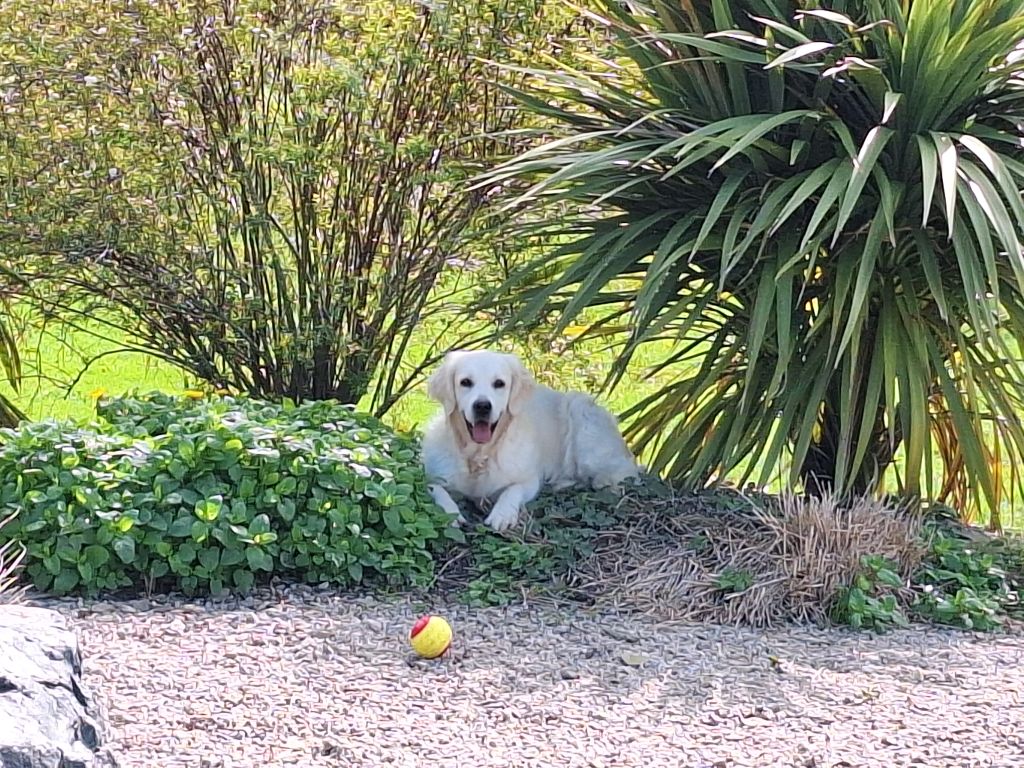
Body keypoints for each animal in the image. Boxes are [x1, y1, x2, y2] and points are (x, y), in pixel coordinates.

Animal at [419, 352, 634, 532]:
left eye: (499, 383)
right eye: (465, 382)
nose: (482, 406)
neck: (479, 456)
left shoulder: (529, 479)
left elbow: (513, 490)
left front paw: (502, 514)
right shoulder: (434, 476)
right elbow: (436, 489)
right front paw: (450, 513)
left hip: (580, 414)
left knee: (621, 472)